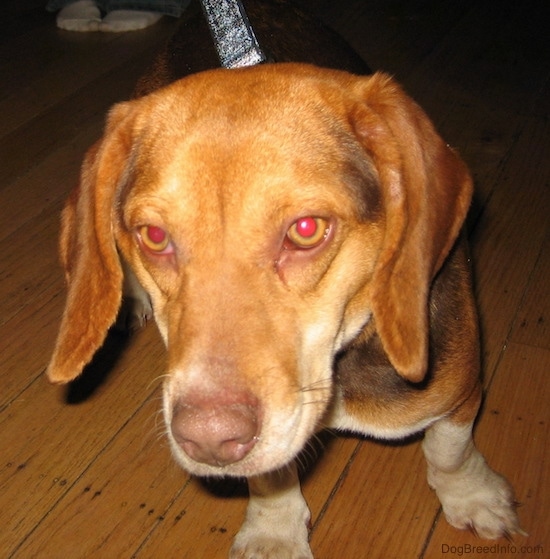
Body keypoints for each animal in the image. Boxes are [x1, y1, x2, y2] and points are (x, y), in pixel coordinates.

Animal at [46, 1, 520, 559]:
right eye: (154, 236)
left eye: (306, 229)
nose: (209, 439)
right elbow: (271, 478)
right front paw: (274, 532)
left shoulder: (459, 386)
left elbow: (449, 449)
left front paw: (472, 497)